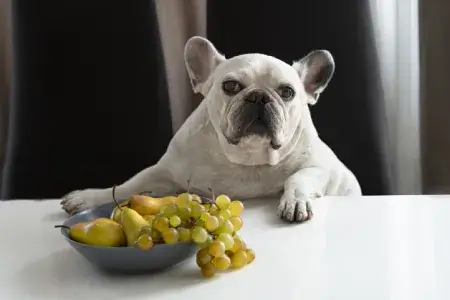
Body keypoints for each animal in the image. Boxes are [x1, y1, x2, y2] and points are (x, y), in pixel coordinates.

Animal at [59, 36, 362, 221]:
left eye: (287, 92)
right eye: (230, 86)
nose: (259, 97)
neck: (249, 159)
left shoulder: (321, 167)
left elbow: (298, 178)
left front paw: (294, 202)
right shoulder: (166, 172)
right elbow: (131, 185)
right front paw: (89, 197)